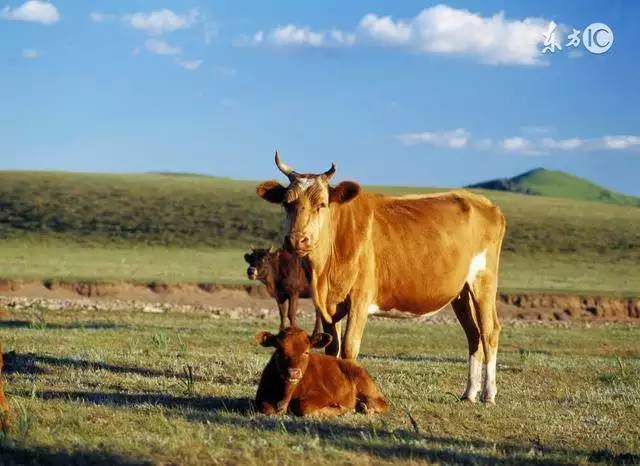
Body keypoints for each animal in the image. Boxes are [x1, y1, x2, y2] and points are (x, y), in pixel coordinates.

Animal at [252, 326, 388, 416]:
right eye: (279, 350)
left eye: (306, 352)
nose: (293, 373)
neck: (285, 398)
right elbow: (266, 408)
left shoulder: (324, 396)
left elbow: (303, 406)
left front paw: (342, 409)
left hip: (366, 386)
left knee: (382, 403)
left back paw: (366, 408)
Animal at [258, 153, 508, 404]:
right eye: (286, 203)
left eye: (321, 204)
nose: (296, 240)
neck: (324, 272)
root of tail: (482, 202)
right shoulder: (327, 306)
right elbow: (332, 348)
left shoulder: (359, 299)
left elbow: (349, 347)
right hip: (461, 292)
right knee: (473, 335)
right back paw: (469, 393)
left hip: (483, 281)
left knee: (489, 332)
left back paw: (488, 394)